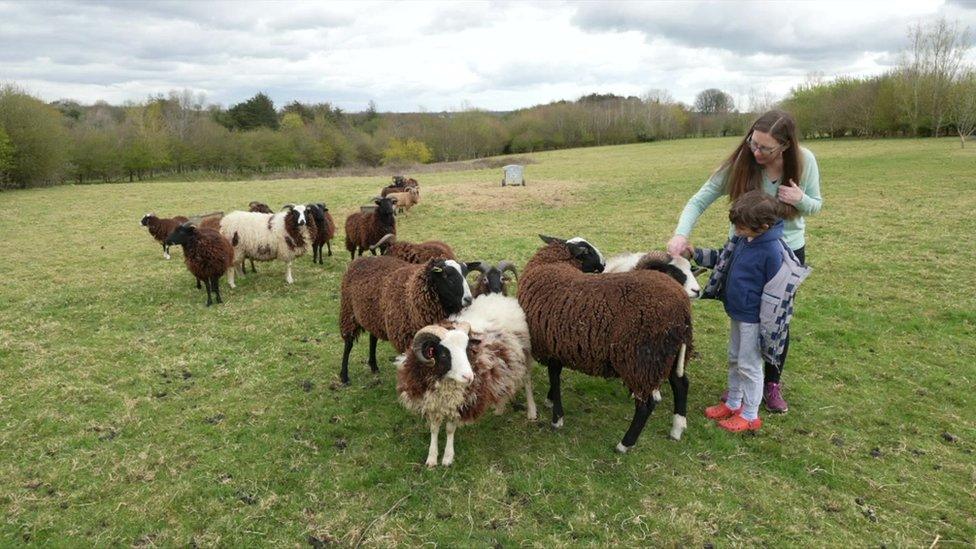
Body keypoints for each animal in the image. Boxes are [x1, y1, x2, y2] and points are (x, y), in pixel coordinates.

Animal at [340, 256, 472, 382]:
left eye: (465, 274)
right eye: (446, 276)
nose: (468, 299)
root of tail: (361, 259)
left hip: (373, 316)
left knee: (373, 338)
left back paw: (374, 366)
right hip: (348, 312)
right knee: (348, 343)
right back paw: (344, 377)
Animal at [394, 322, 528, 466]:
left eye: (468, 351)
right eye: (444, 355)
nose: (469, 377)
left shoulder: (458, 405)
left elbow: (449, 429)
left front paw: (447, 458)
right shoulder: (433, 403)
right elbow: (434, 429)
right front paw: (432, 458)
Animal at [520, 233, 692, 452]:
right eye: (587, 250)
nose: (604, 264)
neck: (555, 263)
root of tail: (682, 309)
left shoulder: (552, 344)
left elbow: (555, 377)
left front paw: (557, 418)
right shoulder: (558, 344)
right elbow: (555, 376)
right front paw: (551, 401)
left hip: (641, 359)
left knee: (646, 403)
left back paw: (625, 444)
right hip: (669, 354)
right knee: (681, 384)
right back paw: (677, 428)